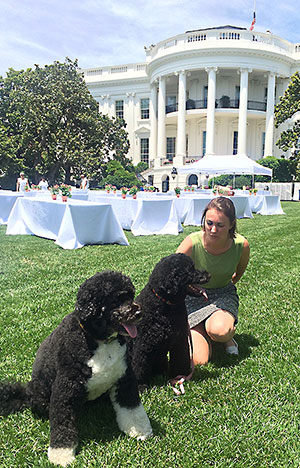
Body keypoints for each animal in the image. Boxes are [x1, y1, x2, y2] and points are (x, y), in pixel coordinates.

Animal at [0, 270, 152, 464]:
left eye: (131, 295)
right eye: (117, 299)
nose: (139, 312)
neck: (101, 341)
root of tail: (26, 392)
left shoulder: (124, 378)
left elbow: (132, 409)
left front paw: (140, 430)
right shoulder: (66, 388)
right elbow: (62, 424)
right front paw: (61, 454)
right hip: (41, 395)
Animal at [130, 256, 210, 388]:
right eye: (190, 270)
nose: (208, 275)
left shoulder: (180, 340)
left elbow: (180, 360)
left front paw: (180, 376)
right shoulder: (142, 346)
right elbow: (139, 367)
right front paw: (140, 387)